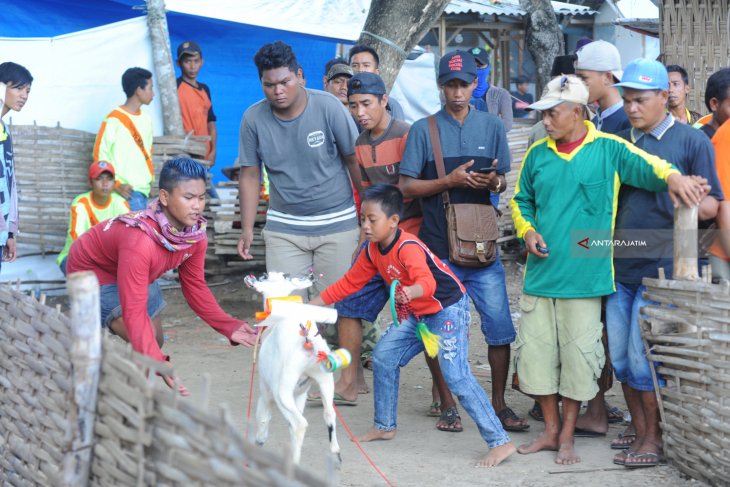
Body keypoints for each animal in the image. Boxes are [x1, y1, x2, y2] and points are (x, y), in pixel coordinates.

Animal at [247, 272, 342, 468]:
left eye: (264, 276)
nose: (253, 276)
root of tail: (307, 341)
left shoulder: (265, 393)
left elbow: (263, 419)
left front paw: (258, 443)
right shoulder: (300, 394)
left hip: (281, 391)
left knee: (300, 424)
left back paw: (293, 465)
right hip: (325, 380)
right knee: (329, 413)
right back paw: (336, 454)